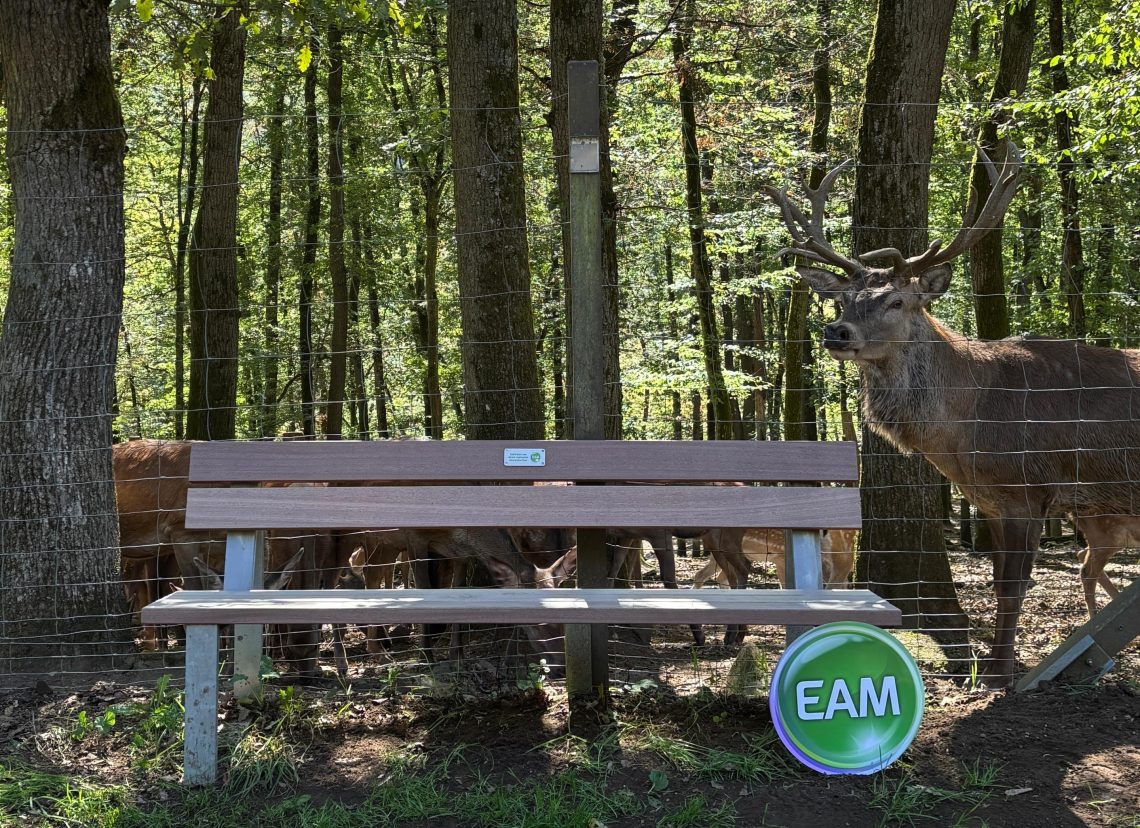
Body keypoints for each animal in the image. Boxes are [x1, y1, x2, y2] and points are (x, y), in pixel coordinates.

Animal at [765, 141, 1139, 685]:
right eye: (844, 299)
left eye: (897, 300)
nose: (836, 333)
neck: (966, 429)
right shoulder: (991, 501)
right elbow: (1001, 583)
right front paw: (988, 670)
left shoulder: (1027, 488)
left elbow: (1013, 585)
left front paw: (1001, 675)